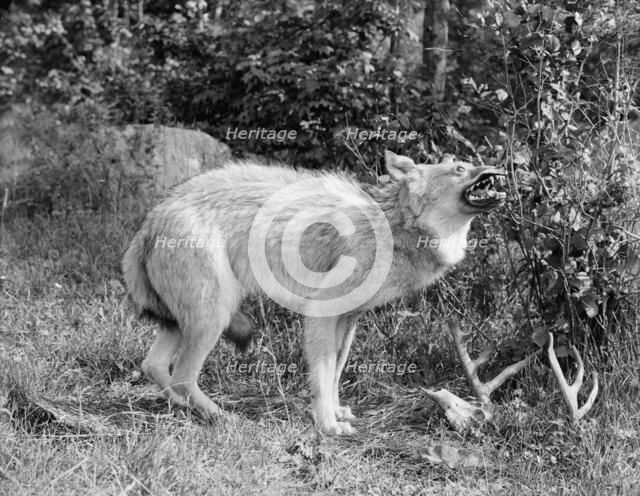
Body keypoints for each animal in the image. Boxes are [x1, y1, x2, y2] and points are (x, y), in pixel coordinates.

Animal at [122, 150, 506, 435]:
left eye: (472, 161)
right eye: (459, 168)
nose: (498, 169)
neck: (393, 228)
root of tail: (150, 221)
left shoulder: (349, 320)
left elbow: (335, 372)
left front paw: (337, 413)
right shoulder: (321, 315)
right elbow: (321, 375)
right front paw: (328, 426)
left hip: (186, 322)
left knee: (154, 366)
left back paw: (184, 410)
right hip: (214, 316)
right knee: (183, 377)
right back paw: (223, 417)